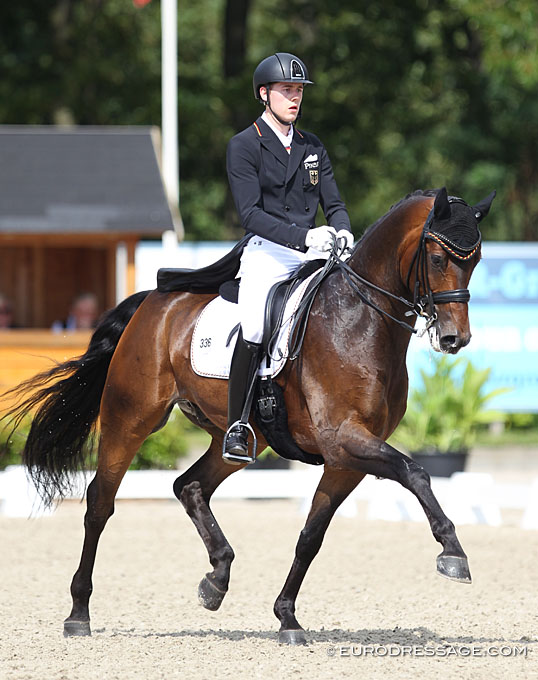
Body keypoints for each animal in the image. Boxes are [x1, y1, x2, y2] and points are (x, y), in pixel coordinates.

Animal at [1, 186, 494, 644]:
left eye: (475, 260)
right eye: (436, 257)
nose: (455, 338)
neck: (361, 321)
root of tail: (153, 301)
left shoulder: (345, 460)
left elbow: (311, 536)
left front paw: (287, 617)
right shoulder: (344, 439)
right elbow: (416, 472)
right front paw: (453, 551)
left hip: (239, 438)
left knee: (190, 485)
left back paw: (216, 580)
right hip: (131, 418)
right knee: (100, 504)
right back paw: (78, 613)